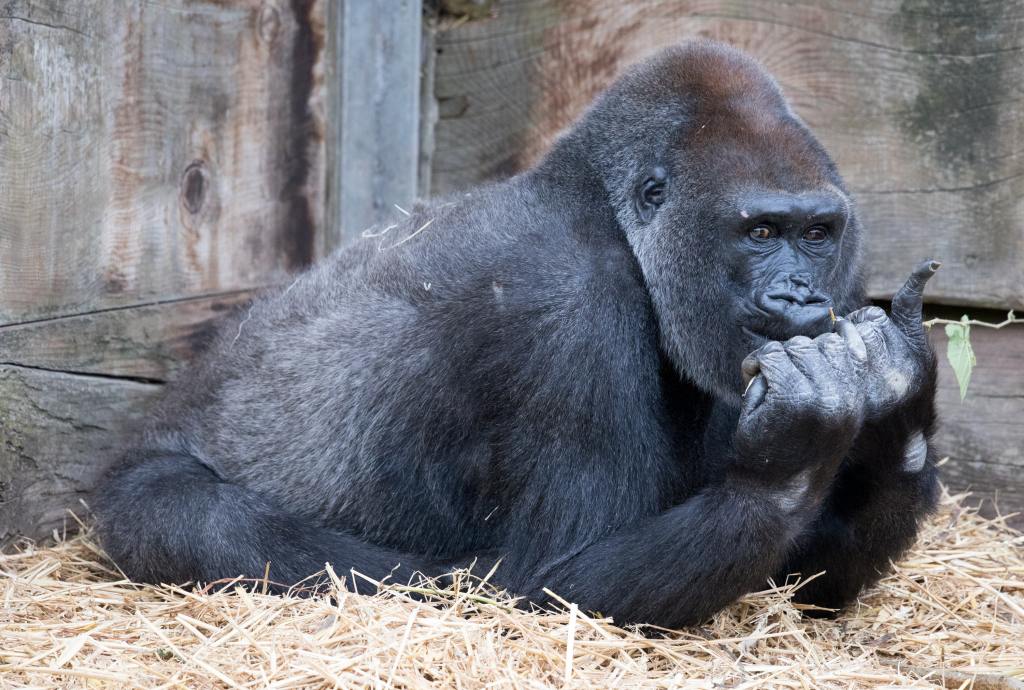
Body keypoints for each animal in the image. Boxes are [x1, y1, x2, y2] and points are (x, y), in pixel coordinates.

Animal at [92, 40, 937, 626]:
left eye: (817, 233)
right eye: (760, 232)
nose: (800, 295)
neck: (598, 204)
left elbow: (806, 575)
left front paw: (901, 402)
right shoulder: (569, 306)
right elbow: (557, 582)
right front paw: (790, 458)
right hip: (133, 490)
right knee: (214, 522)